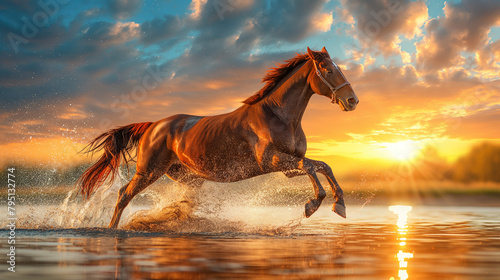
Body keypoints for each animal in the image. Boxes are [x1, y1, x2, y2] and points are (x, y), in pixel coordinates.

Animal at [77, 47, 360, 229]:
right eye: (327, 69)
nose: (352, 101)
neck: (278, 116)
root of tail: (152, 125)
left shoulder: (288, 166)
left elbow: (323, 166)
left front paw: (340, 205)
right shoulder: (273, 160)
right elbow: (311, 167)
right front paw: (313, 205)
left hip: (188, 178)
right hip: (148, 171)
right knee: (124, 194)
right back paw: (112, 229)